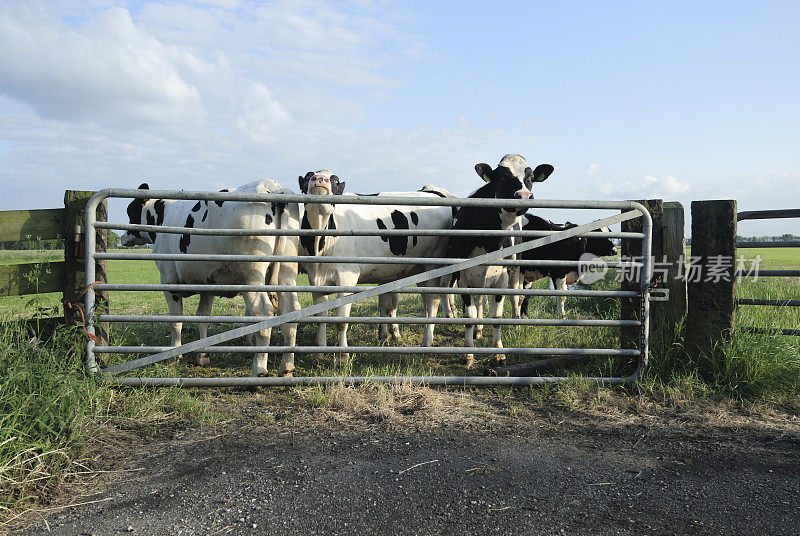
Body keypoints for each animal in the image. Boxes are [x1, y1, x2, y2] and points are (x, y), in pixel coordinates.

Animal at [120, 180, 302, 376]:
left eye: (131, 211)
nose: (123, 237)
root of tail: (272, 186)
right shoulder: (208, 284)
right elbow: (203, 317)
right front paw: (203, 355)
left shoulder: (169, 282)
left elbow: (175, 321)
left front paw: (174, 356)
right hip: (286, 273)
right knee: (291, 310)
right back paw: (287, 366)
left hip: (251, 276)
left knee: (262, 311)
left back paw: (259, 368)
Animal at [446, 153, 552, 366]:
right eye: (502, 177)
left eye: (531, 178)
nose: (524, 195)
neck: (489, 240)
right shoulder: (463, 276)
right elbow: (469, 315)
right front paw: (468, 353)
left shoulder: (501, 277)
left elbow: (496, 315)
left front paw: (498, 353)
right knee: (480, 301)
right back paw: (478, 331)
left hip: (514, 271)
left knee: (515, 297)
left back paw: (516, 323)